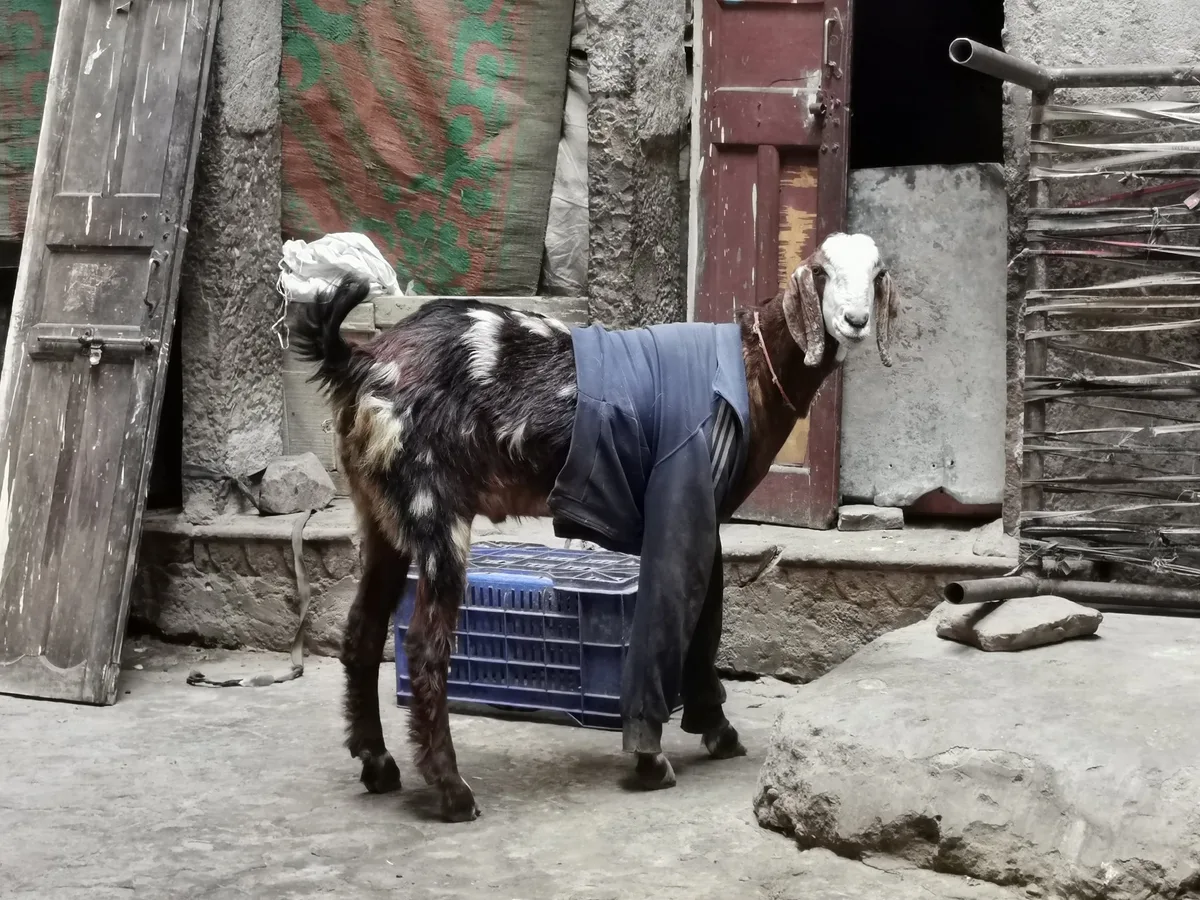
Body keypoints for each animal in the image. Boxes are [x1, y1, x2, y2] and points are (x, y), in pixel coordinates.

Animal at [291, 231, 897, 823]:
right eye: (822, 272)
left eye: (876, 273)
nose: (854, 321)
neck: (748, 365)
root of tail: (361, 360)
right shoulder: (684, 495)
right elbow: (683, 621)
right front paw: (658, 755)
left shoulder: (703, 514)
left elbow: (705, 620)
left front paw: (714, 728)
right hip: (434, 508)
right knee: (422, 645)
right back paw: (452, 791)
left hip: (380, 515)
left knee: (362, 632)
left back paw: (377, 763)